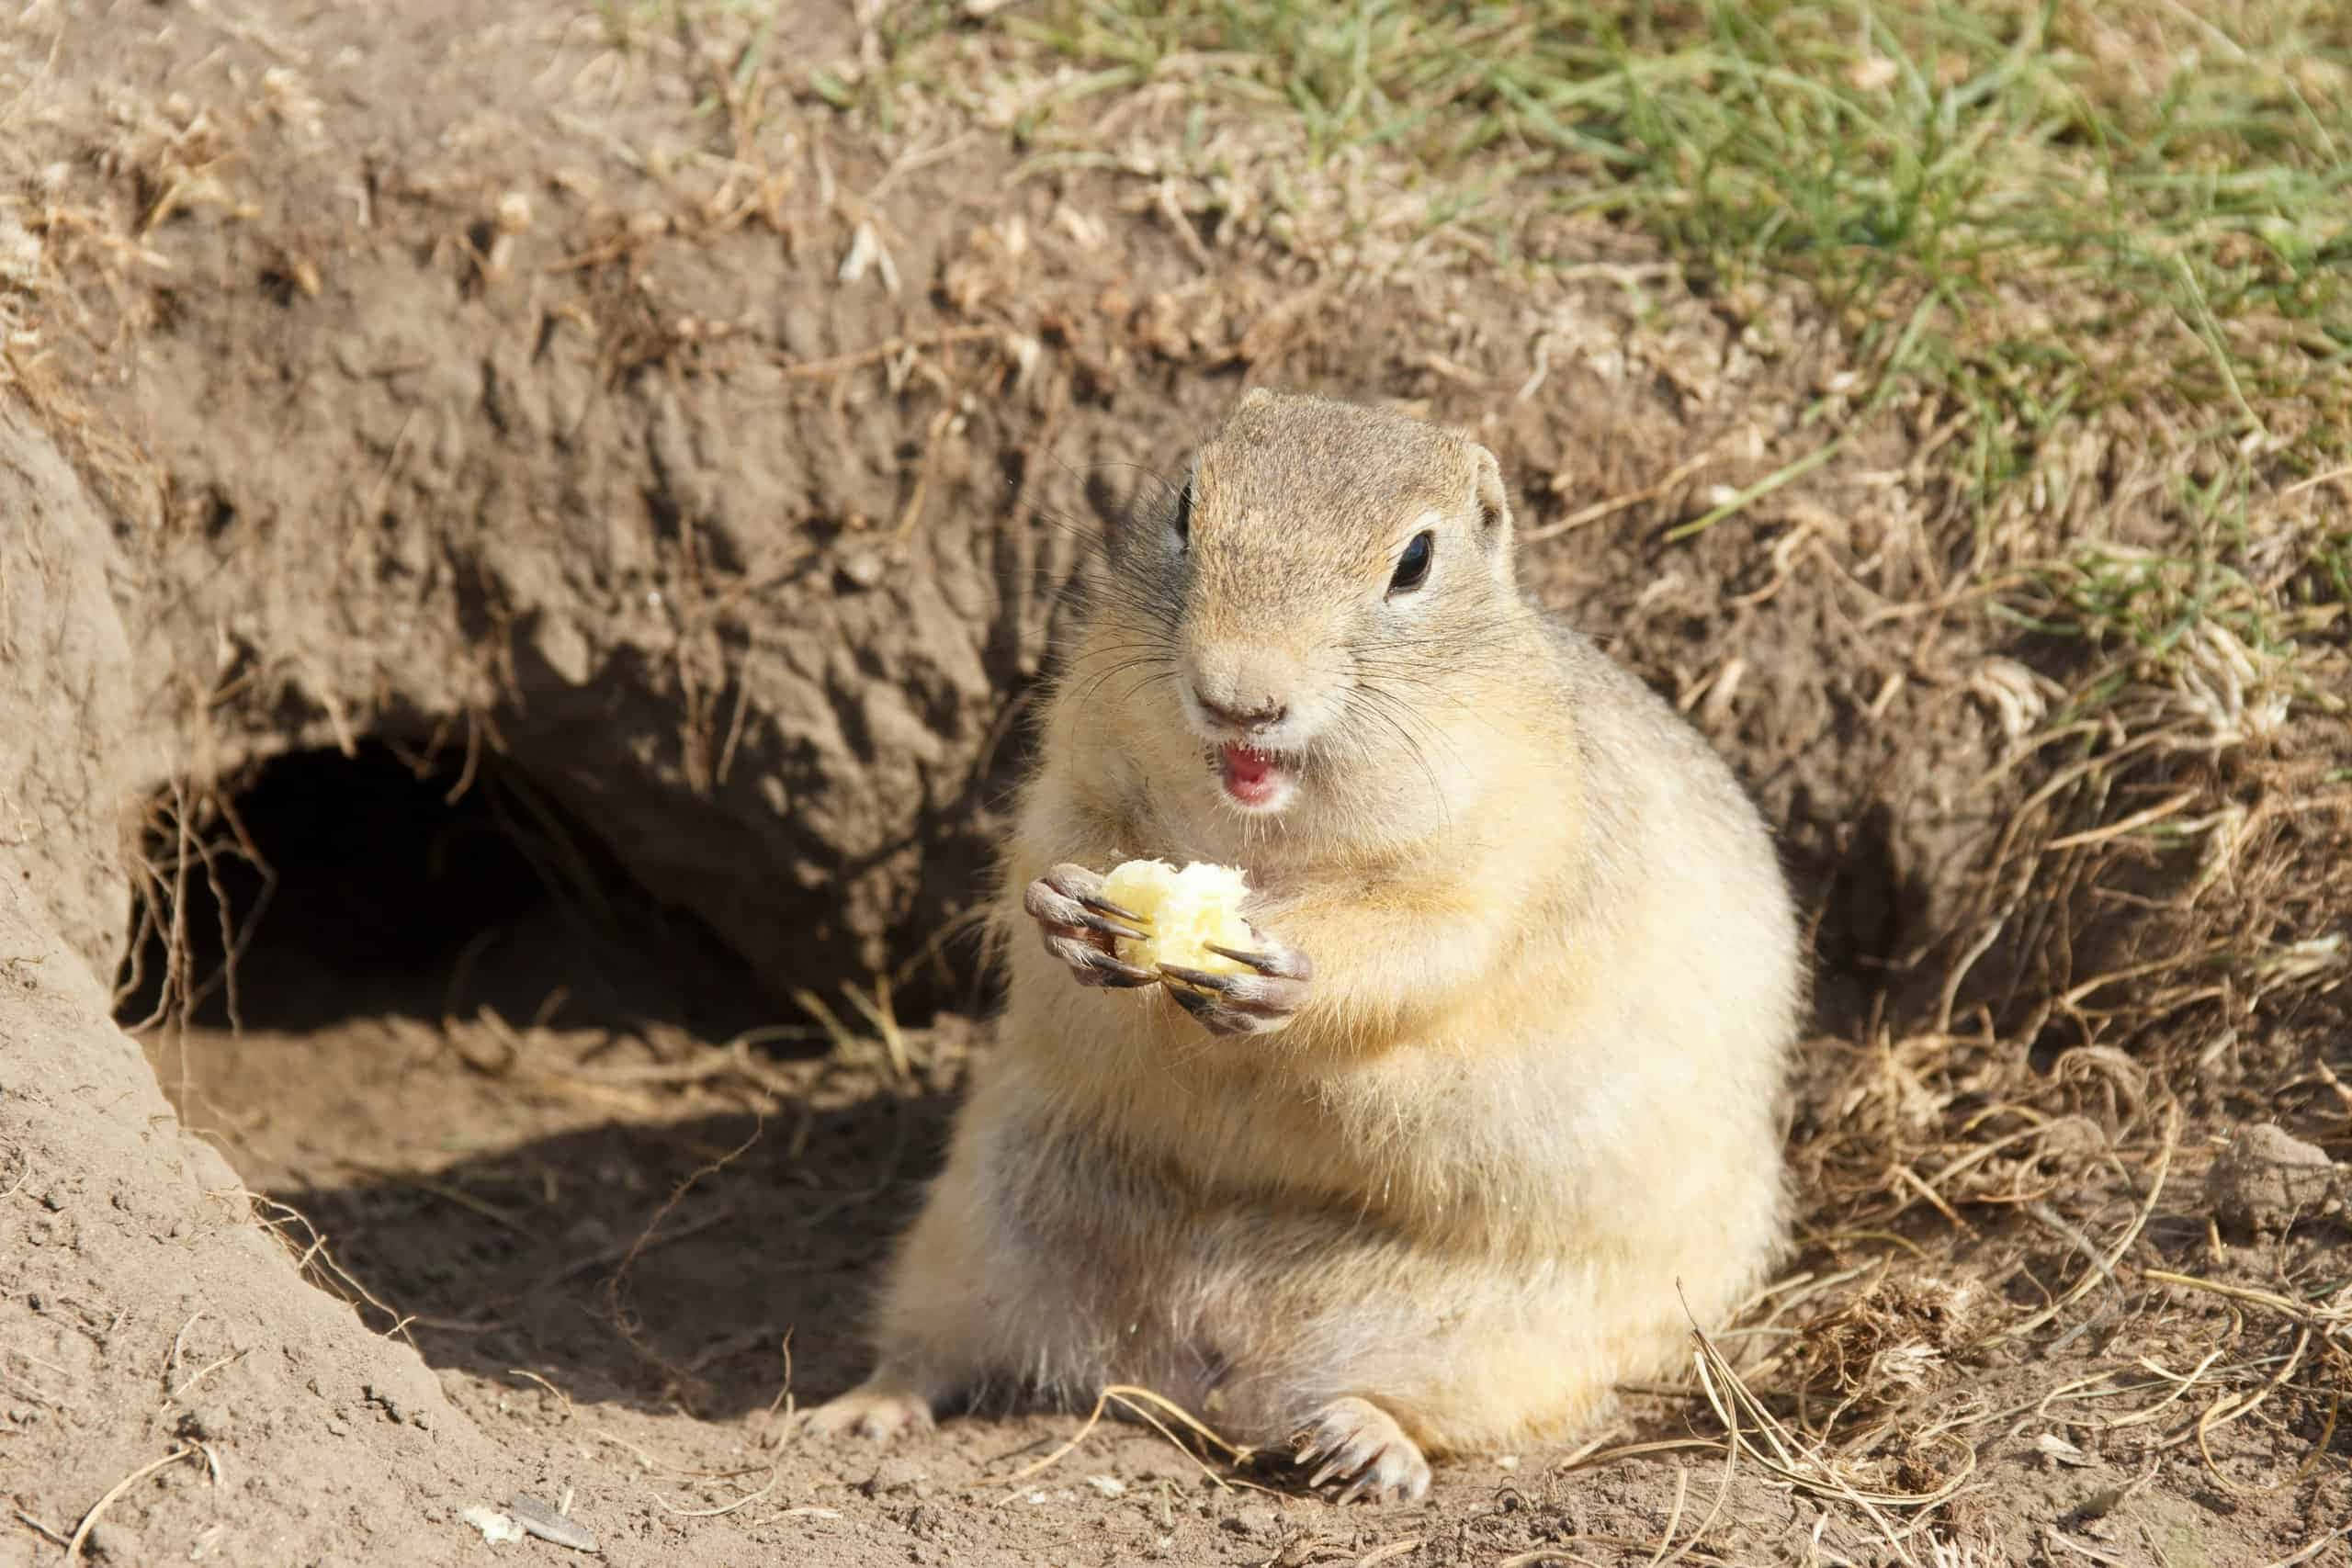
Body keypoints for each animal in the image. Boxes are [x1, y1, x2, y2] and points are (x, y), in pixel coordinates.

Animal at [802, 389, 1803, 1503]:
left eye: (1415, 560)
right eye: (1185, 504)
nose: (1239, 695)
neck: (1264, 839)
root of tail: (1199, 1354)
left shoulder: (1510, 839)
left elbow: (1435, 939)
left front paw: (1284, 977)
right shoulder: (1077, 750)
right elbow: (1051, 832)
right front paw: (1067, 908)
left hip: (1531, 1342)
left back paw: (1366, 1441)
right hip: (972, 1227)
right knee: (929, 1346)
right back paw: (866, 1408)